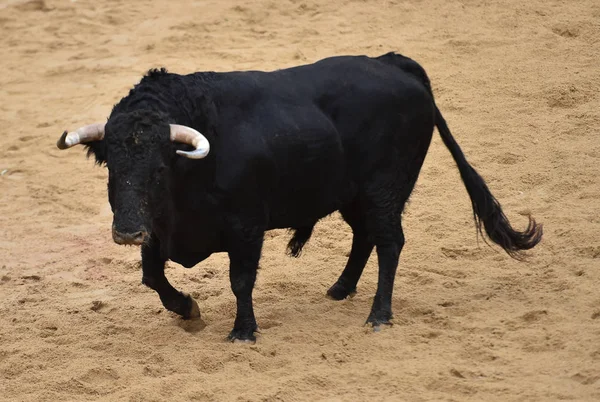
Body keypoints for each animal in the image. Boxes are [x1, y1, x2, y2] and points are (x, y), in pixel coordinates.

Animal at [57, 52, 544, 342]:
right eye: (112, 170)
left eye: (158, 170)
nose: (126, 232)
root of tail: (393, 64)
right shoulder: (160, 229)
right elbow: (153, 276)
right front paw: (188, 309)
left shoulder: (246, 228)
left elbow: (240, 280)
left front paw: (243, 332)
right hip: (353, 196)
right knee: (365, 237)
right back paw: (341, 289)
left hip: (384, 190)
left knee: (390, 243)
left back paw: (379, 315)